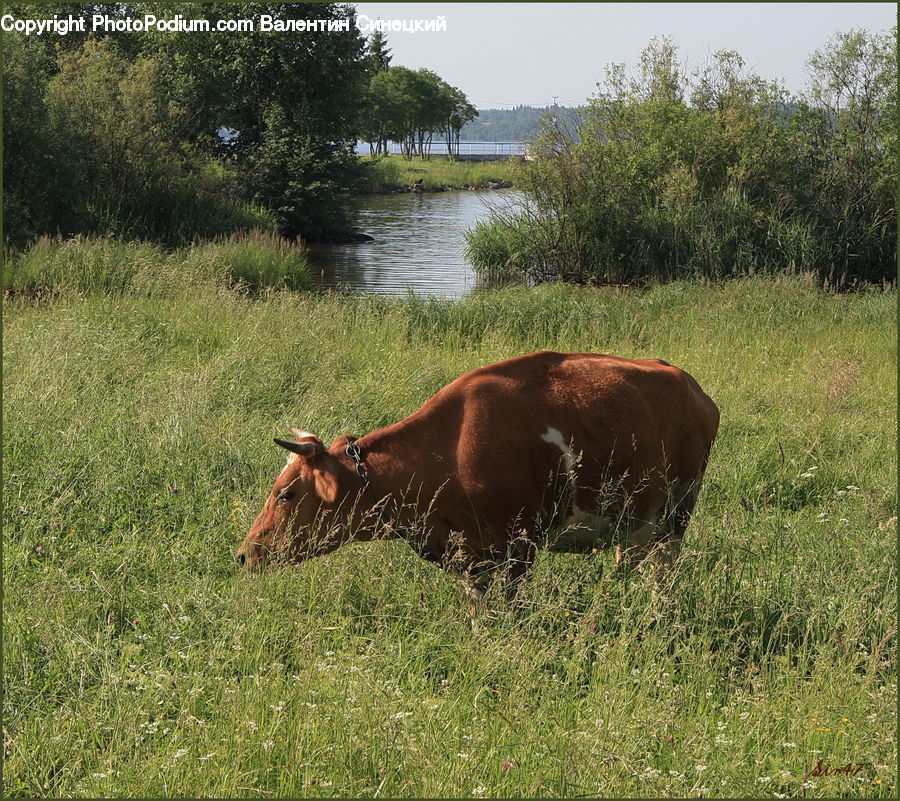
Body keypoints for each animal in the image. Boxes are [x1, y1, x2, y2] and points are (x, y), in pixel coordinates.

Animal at [237, 350, 716, 600]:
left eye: (286, 494)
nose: (244, 555)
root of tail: (685, 379)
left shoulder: (517, 547)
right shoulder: (470, 557)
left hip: (677, 513)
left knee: (661, 570)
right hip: (633, 523)